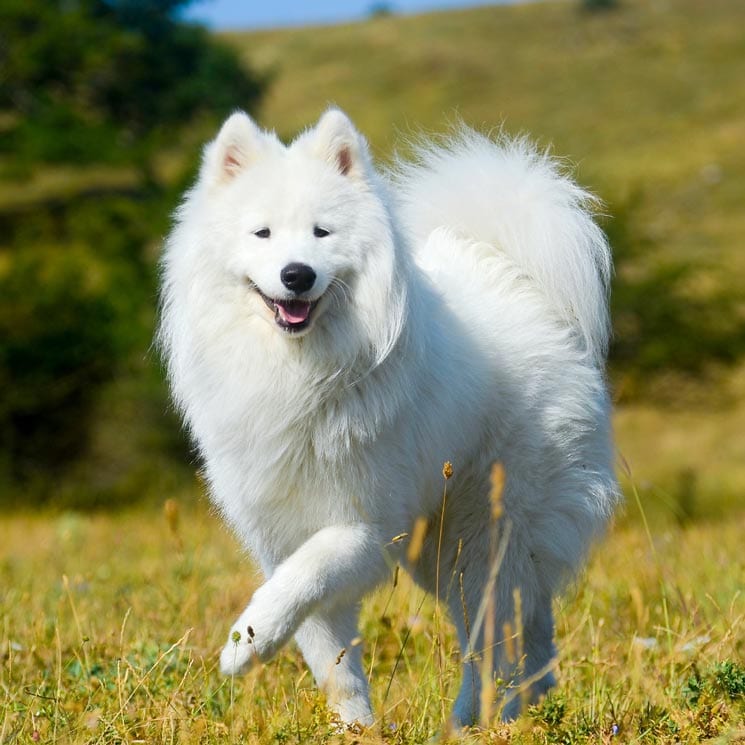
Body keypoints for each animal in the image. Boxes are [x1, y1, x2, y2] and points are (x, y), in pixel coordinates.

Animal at [160, 110, 620, 728]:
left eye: (322, 233)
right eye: (262, 234)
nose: (297, 274)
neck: (301, 373)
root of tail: (517, 281)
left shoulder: (365, 526)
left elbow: (303, 578)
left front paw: (245, 644)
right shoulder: (281, 531)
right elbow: (330, 658)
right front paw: (353, 728)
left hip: (482, 539)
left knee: (492, 643)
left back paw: (467, 725)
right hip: (447, 551)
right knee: (530, 634)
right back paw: (523, 705)